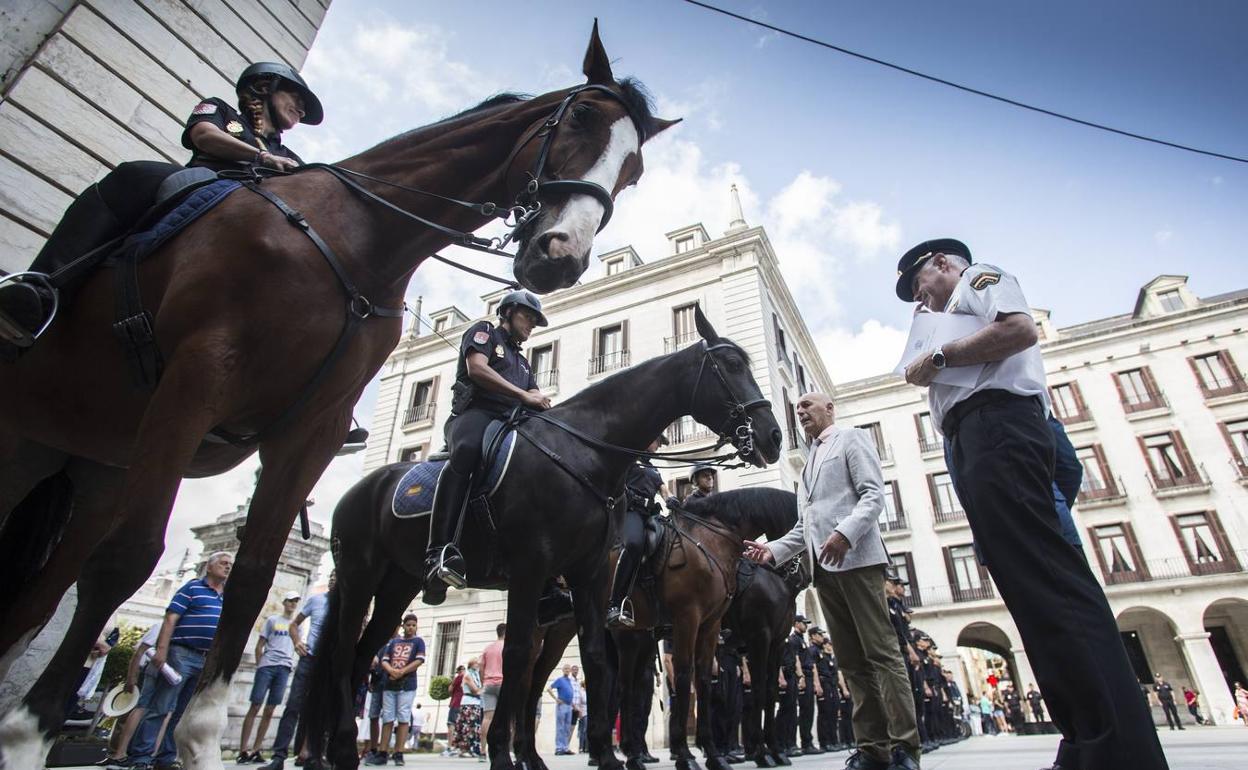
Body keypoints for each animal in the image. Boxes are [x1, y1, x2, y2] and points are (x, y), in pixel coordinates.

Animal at [0, 22, 673, 763]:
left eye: (634, 170)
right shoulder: (196, 380)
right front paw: (32, 737)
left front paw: (199, 739)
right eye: (580, 118)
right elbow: (126, 559)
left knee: (42, 587)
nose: (561, 255)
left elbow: (252, 578)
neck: (358, 236)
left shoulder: (310, 432)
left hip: (94, 460)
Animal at [302, 305, 773, 768]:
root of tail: (361, 488)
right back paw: (341, 746)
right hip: (360, 577)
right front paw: (500, 753)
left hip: (398, 587)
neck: (582, 451)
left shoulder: (591, 578)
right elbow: (514, 656)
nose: (772, 436)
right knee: (343, 654)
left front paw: (606, 755)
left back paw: (337, 751)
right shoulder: (531, 570)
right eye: (732, 365)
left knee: (363, 653)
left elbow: (594, 660)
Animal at [678, 489, 803, 763]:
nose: (800, 575)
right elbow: (757, 691)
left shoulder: (777, 642)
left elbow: (770, 692)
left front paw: (774, 749)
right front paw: (760, 752)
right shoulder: (759, 639)